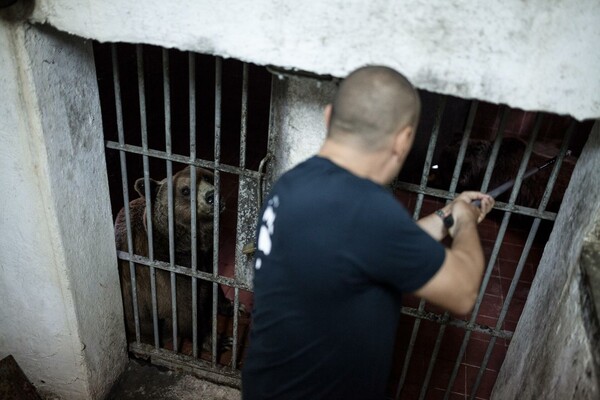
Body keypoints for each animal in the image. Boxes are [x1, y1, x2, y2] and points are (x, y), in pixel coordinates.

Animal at [115, 166, 218, 354]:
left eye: (207, 177)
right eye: (185, 190)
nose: (211, 195)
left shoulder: (205, 258)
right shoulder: (164, 278)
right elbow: (187, 311)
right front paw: (211, 339)